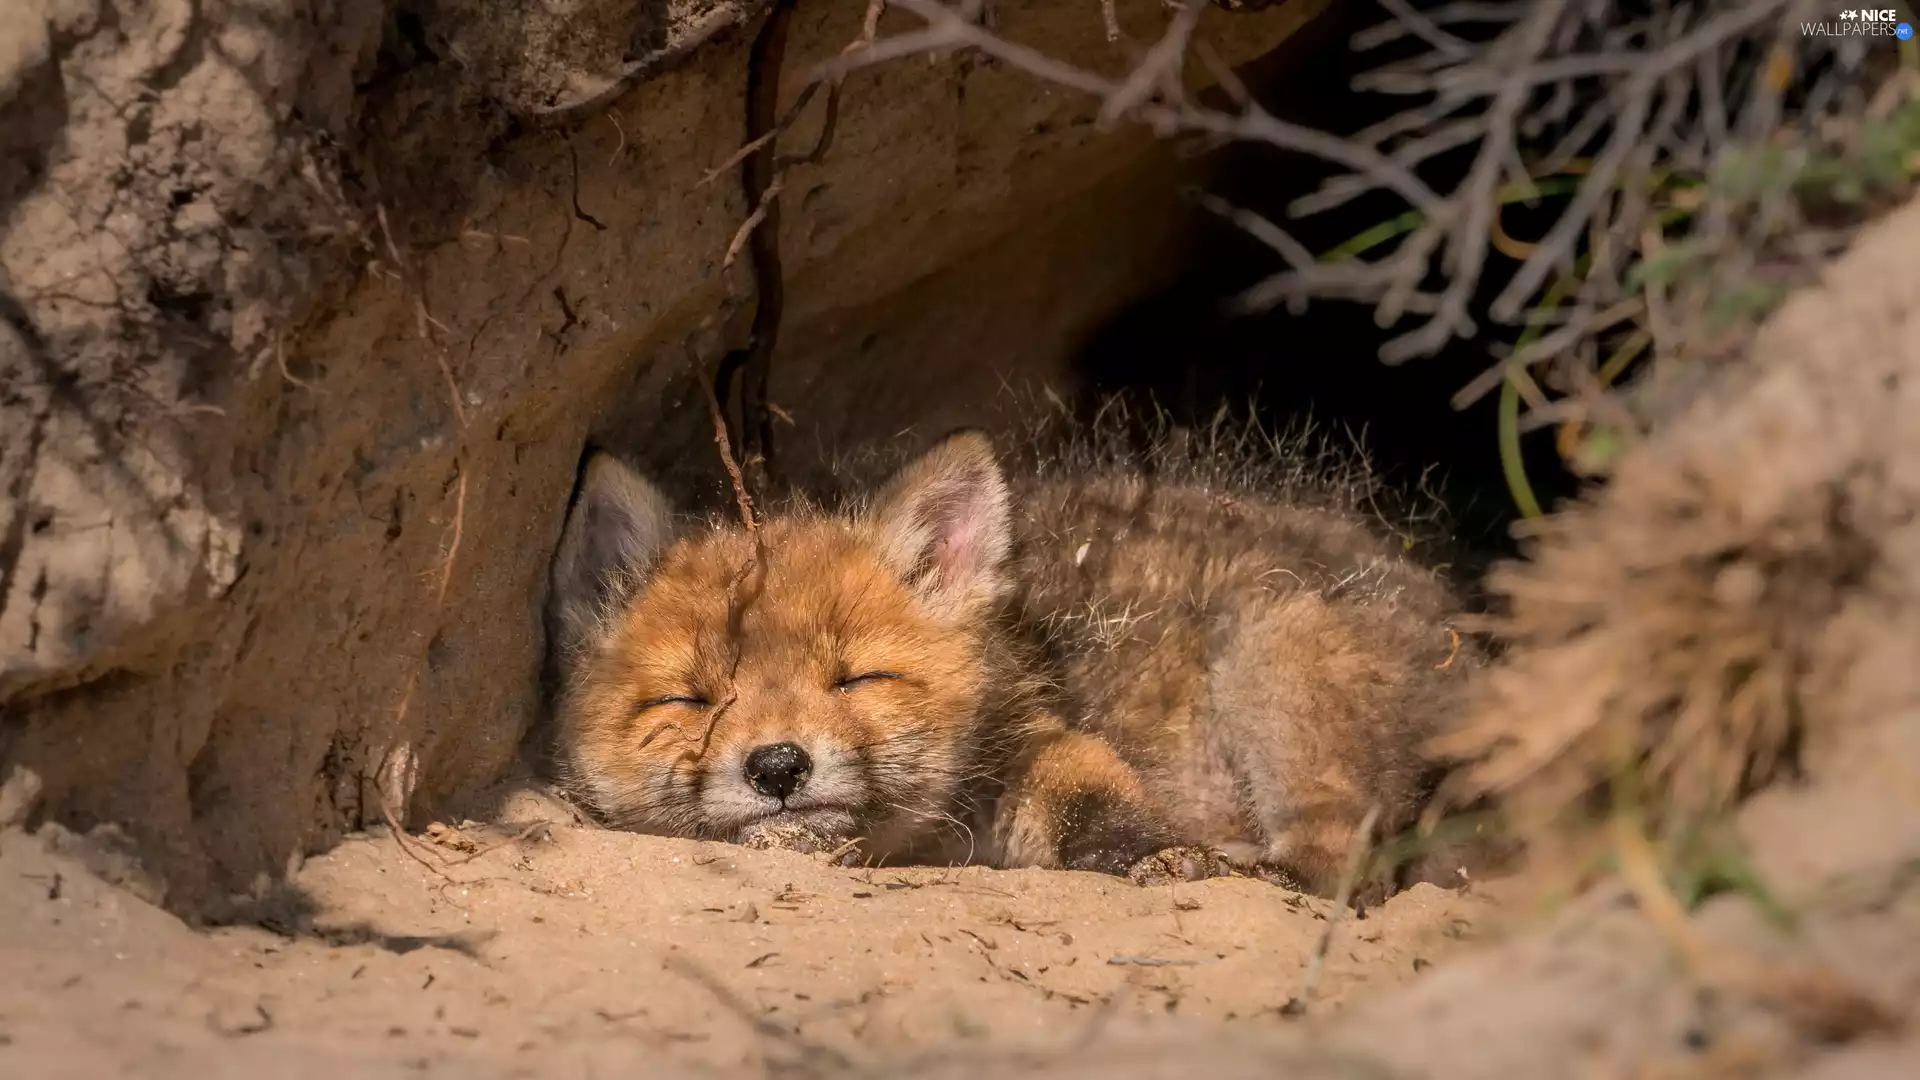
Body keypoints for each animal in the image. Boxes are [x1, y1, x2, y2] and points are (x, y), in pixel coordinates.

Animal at [546, 417, 1478, 896]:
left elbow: (1095, 800)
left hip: (1273, 660)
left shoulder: (1030, 738)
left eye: (859, 678)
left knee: (1339, 868)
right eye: (692, 699)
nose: (778, 767)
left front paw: (1157, 856)